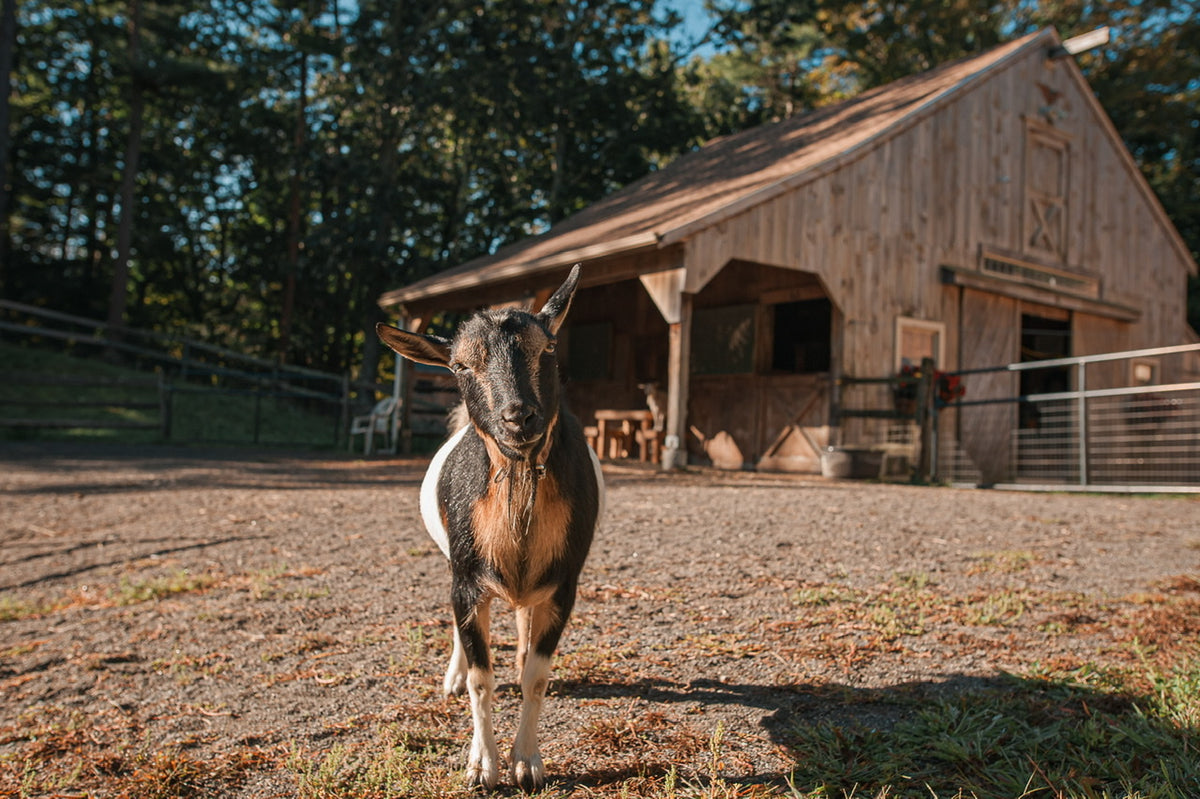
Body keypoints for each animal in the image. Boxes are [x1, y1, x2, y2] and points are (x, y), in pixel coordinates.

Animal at [374, 263, 604, 787]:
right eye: (460, 366)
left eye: (548, 349)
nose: (519, 417)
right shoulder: (466, 578)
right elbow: (483, 679)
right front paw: (482, 766)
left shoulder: (565, 584)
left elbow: (537, 677)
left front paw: (527, 762)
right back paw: (455, 675)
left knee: (522, 624)